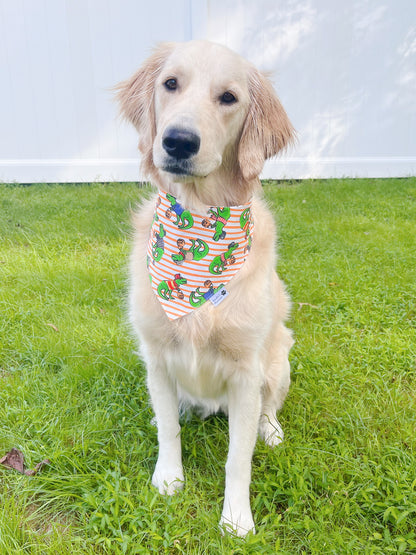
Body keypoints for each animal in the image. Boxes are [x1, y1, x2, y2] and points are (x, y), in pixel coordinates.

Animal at [115, 41, 294, 536]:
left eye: (228, 97)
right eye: (170, 84)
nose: (178, 141)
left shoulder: (247, 372)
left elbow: (238, 458)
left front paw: (235, 517)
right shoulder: (156, 357)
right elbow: (167, 430)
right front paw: (168, 478)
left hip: (280, 358)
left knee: (270, 407)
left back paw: (271, 431)